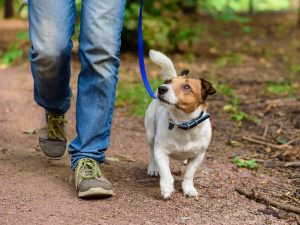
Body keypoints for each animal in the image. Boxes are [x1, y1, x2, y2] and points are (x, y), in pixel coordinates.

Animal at [144, 49, 216, 199]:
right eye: (169, 82)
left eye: (187, 87)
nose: (162, 88)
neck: (182, 123)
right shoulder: (161, 151)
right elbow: (166, 173)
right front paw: (166, 188)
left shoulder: (198, 156)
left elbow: (189, 175)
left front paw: (188, 189)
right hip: (151, 135)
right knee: (151, 152)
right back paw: (153, 168)